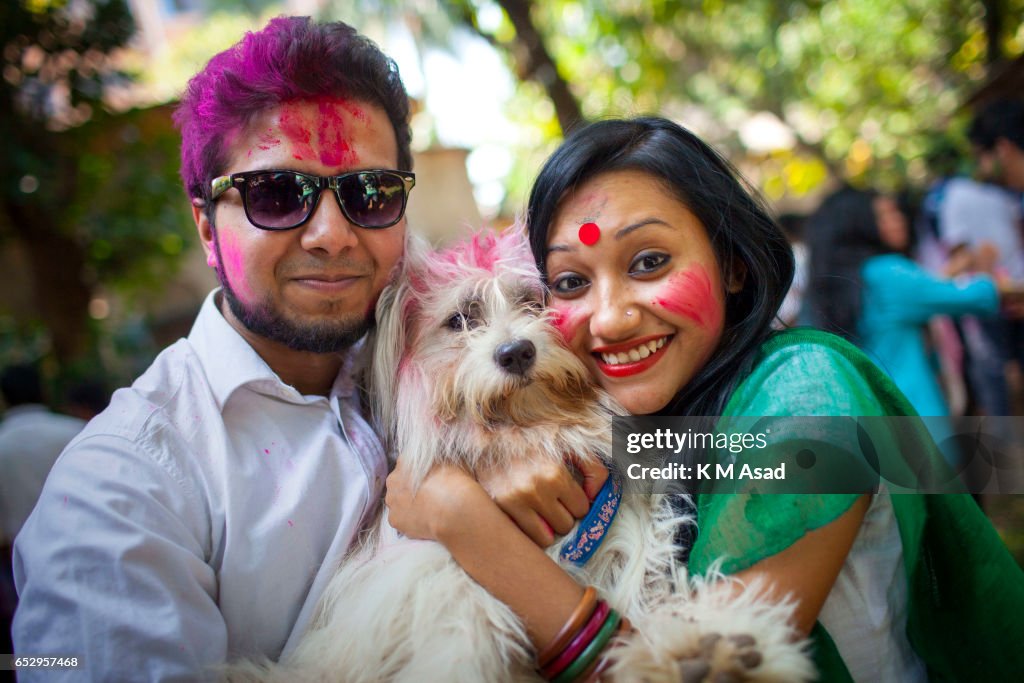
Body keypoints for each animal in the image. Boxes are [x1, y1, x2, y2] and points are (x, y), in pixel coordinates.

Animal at [226, 231, 815, 683]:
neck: (532, 432)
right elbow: (465, 636)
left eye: (538, 301)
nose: (515, 352)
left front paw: (705, 643)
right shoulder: (439, 586)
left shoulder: (632, 547)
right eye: (461, 320)